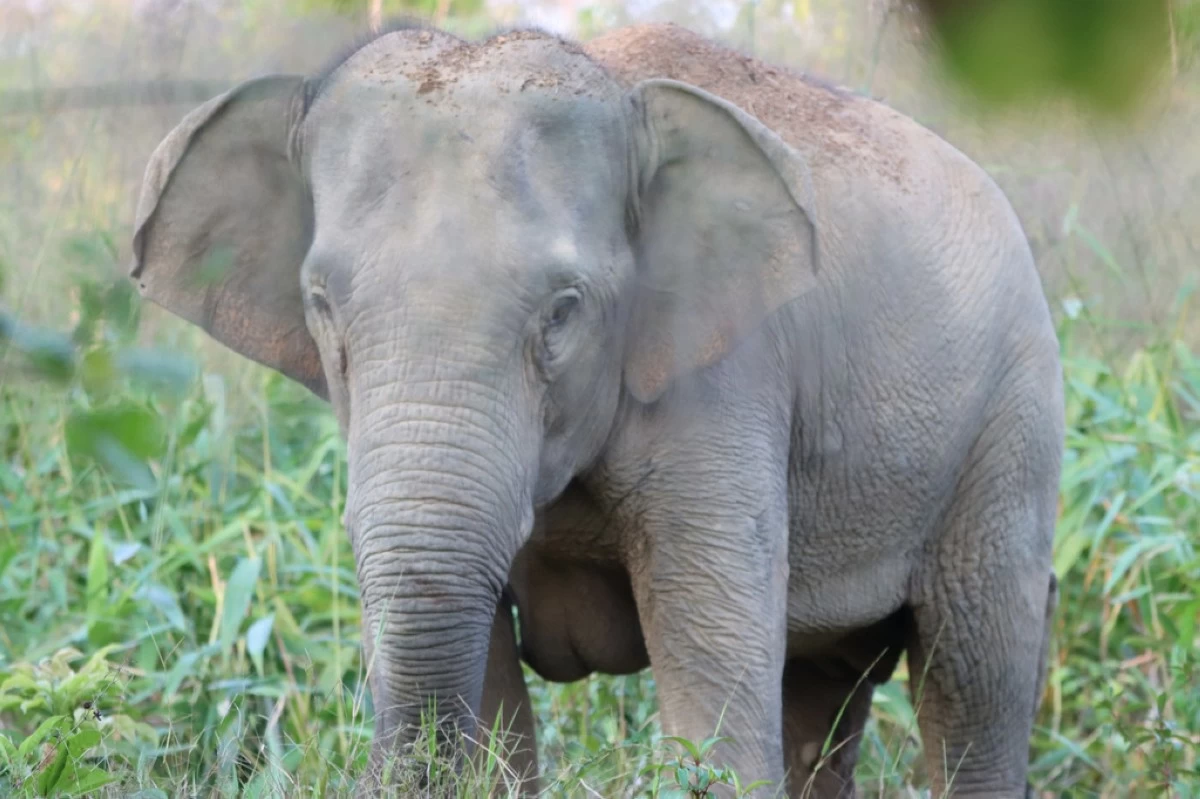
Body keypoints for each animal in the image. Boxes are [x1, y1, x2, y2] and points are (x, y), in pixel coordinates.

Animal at [128, 19, 1064, 799]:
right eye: (320, 302)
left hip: (1011, 428)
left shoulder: (726, 383)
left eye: (562, 310)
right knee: (821, 696)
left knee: (975, 681)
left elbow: (714, 685)